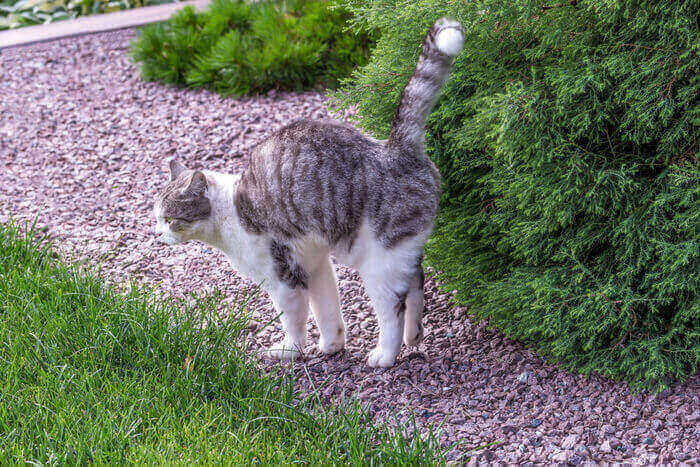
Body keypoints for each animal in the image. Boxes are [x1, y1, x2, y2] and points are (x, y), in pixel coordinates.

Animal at [152, 18, 464, 368]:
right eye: (157, 218)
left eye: (170, 219)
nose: (157, 234)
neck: (229, 212)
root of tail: (395, 150)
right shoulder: (315, 266)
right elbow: (327, 310)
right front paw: (332, 345)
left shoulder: (283, 278)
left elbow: (293, 319)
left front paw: (290, 350)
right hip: (402, 252)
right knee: (416, 283)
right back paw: (414, 336)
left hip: (379, 262)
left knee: (392, 308)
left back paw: (385, 354)